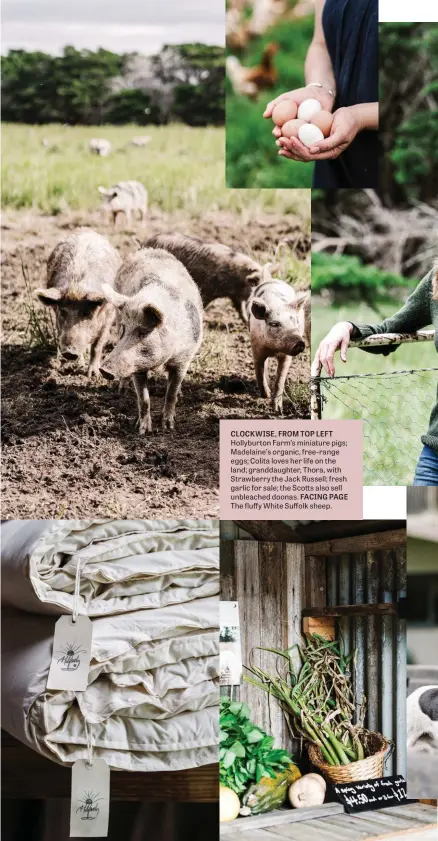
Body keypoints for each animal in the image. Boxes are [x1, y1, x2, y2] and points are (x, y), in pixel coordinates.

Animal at [35, 228, 120, 376]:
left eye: (87, 313)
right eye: (62, 312)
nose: (69, 352)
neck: (76, 287)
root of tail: (86, 230)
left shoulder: (109, 315)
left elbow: (97, 345)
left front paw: (93, 375)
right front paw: (81, 365)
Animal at [99, 246, 204, 434]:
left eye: (143, 331)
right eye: (125, 329)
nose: (104, 370)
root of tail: (146, 250)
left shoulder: (184, 359)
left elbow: (171, 393)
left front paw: (168, 427)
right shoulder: (136, 364)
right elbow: (144, 398)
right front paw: (142, 431)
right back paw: (121, 391)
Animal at [248, 268, 310, 412]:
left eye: (295, 321)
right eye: (275, 324)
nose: (299, 342)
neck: (274, 349)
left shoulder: (286, 357)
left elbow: (280, 379)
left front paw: (277, 409)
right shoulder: (256, 347)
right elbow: (259, 371)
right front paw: (265, 395)